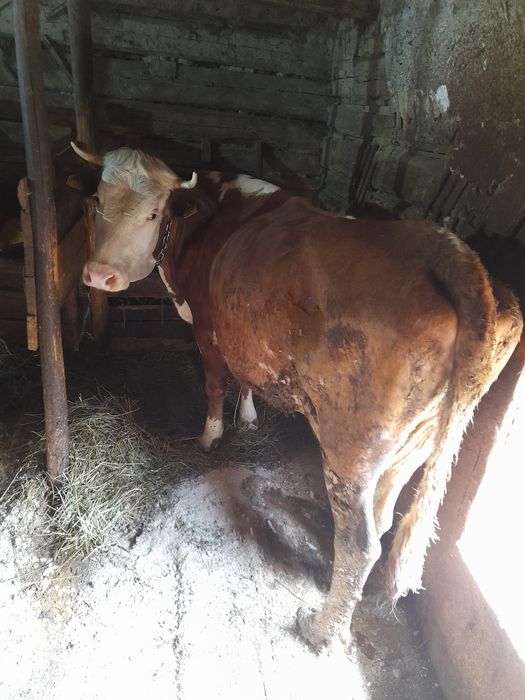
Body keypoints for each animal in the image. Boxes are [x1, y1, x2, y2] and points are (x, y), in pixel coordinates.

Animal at [72, 142, 522, 651]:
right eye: (98, 201)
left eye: (152, 213)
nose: (99, 275)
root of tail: (451, 253)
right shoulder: (239, 327)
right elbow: (245, 376)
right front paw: (248, 417)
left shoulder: (207, 327)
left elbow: (214, 384)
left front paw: (210, 437)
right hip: (416, 441)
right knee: (384, 519)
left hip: (353, 446)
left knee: (360, 541)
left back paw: (322, 628)